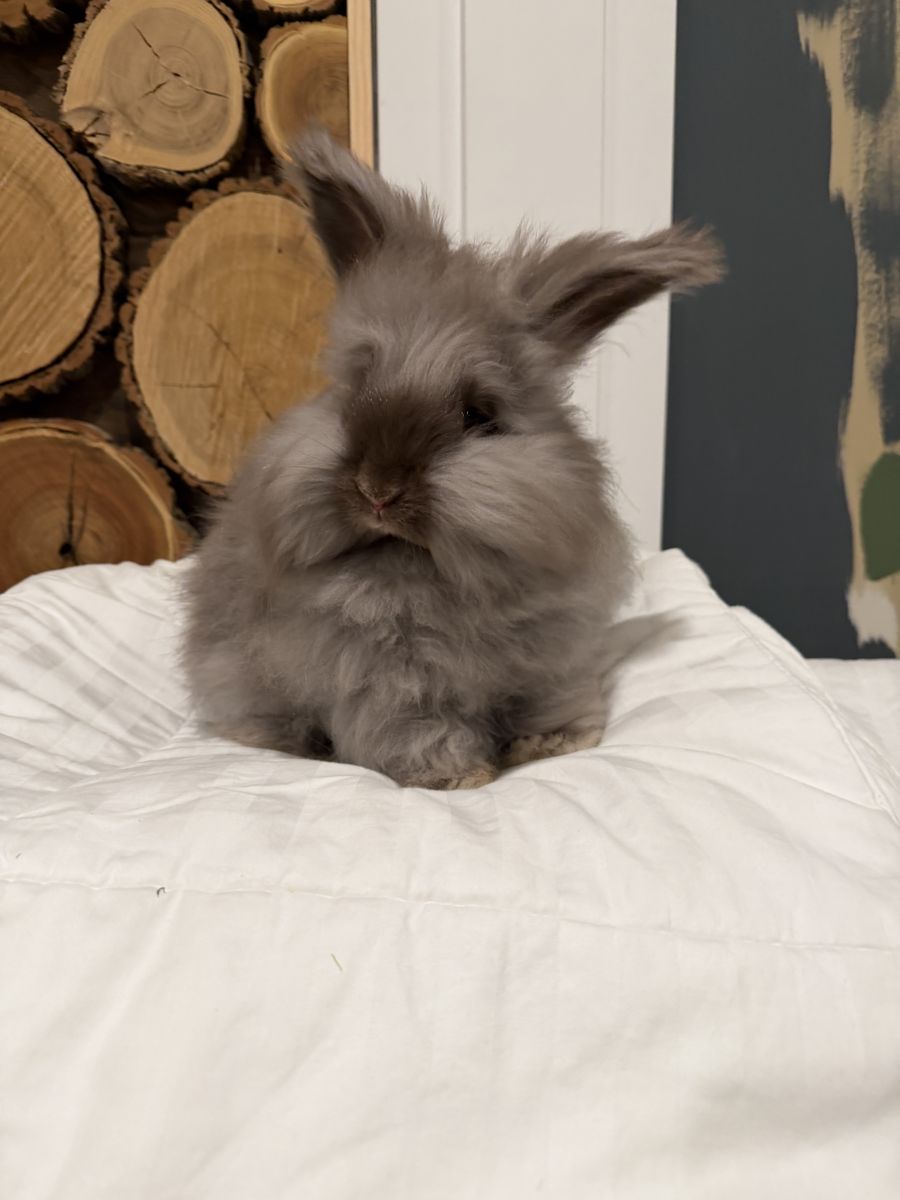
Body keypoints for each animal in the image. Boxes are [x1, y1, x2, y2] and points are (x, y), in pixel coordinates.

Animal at [182, 130, 722, 790]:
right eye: (354, 390)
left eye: (478, 414)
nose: (377, 489)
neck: (428, 569)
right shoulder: (392, 684)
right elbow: (421, 732)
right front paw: (462, 777)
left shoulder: (552, 657)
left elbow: (549, 701)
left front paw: (555, 744)